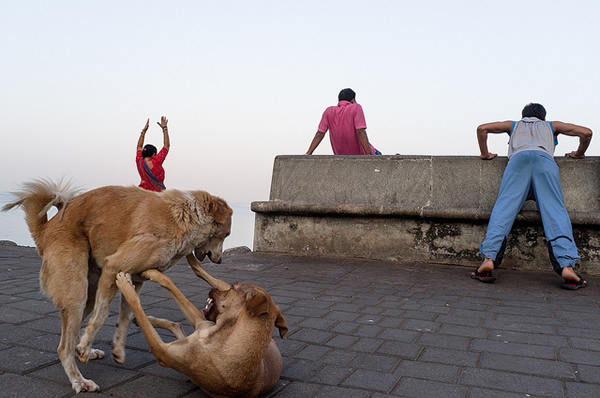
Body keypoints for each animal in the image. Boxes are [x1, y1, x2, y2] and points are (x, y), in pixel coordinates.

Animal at [1, 180, 232, 392]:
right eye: (227, 234)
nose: (220, 261)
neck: (184, 216)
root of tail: (45, 229)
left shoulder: (135, 280)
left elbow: (126, 315)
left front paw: (117, 350)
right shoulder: (113, 267)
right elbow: (102, 315)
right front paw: (85, 348)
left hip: (89, 292)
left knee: (71, 334)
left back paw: (86, 350)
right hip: (78, 292)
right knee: (63, 347)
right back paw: (79, 379)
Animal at [116, 260, 290, 396]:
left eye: (233, 288)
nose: (214, 291)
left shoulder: (162, 351)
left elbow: (138, 304)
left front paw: (127, 285)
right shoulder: (201, 324)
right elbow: (171, 285)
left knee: (176, 325)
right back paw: (193, 261)